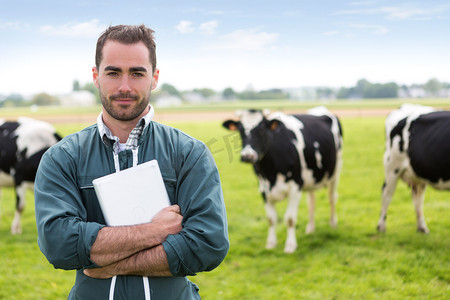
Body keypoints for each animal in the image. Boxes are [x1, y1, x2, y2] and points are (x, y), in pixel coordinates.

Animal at [223, 106, 342, 252]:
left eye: (262, 130)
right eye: (240, 131)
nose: (247, 156)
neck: (270, 172)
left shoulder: (296, 187)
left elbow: (290, 219)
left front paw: (290, 246)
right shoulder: (263, 190)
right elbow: (271, 219)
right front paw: (271, 244)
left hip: (336, 170)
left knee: (332, 198)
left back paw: (333, 224)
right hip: (311, 178)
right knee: (311, 202)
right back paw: (310, 228)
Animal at [378, 104, 448, 233]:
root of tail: (405, 105)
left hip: (419, 173)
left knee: (417, 197)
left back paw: (422, 228)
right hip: (392, 167)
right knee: (387, 194)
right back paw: (381, 227)